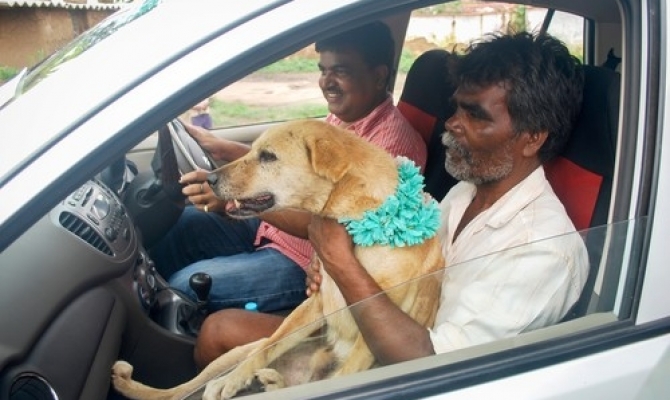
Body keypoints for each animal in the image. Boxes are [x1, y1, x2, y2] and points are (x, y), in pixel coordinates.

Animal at [112, 119, 445, 399]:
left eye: (269, 157)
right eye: (253, 150)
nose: (210, 177)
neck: (361, 220)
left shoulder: (371, 337)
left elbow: (347, 372)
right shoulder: (315, 303)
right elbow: (271, 345)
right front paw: (233, 380)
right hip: (234, 353)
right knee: (181, 390)